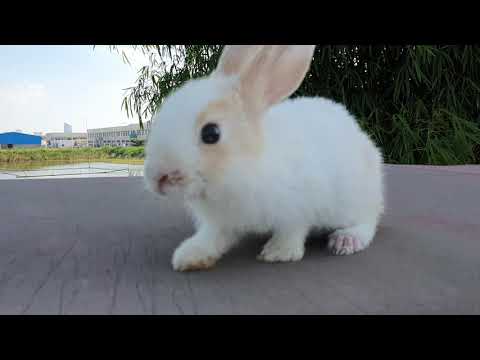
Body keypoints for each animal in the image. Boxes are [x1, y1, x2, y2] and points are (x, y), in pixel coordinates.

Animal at [143, 45, 386, 272]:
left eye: (211, 133)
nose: (158, 178)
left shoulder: (297, 206)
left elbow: (293, 229)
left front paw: (278, 253)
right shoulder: (222, 220)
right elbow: (212, 236)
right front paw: (189, 256)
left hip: (353, 199)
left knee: (369, 219)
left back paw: (347, 240)